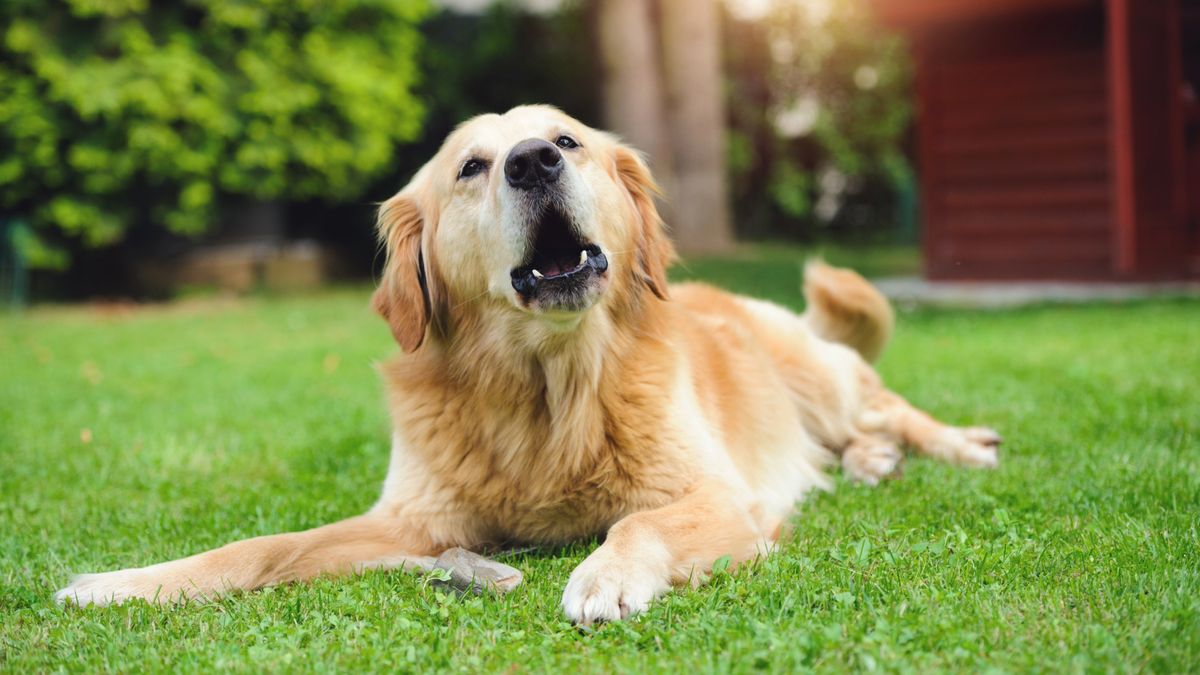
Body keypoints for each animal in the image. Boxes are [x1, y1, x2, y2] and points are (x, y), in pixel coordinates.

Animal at [56, 105, 998, 619]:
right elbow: (260, 547)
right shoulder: (411, 523)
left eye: (568, 142)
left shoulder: (719, 496)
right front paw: (125, 582)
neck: (546, 388)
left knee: (889, 408)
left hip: (819, 376)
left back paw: (955, 444)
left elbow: (636, 523)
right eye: (472, 166)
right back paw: (874, 463)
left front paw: (606, 576)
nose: (533, 160)